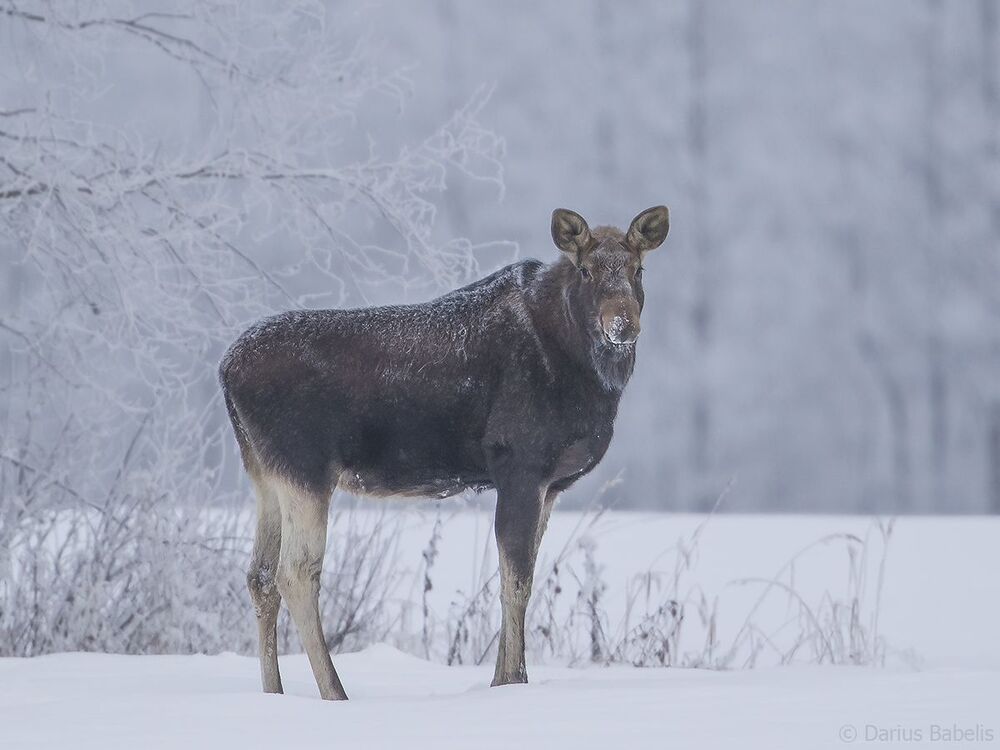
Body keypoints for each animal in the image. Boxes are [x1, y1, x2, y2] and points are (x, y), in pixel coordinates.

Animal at [219, 205, 670, 699]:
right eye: (585, 269)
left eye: (638, 269)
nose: (622, 325)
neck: (586, 376)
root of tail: (225, 369)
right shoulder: (520, 465)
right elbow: (516, 582)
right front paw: (512, 680)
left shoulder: (549, 485)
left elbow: (517, 575)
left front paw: (501, 679)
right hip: (305, 468)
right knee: (296, 573)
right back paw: (335, 692)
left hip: (264, 473)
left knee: (260, 576)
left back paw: (275, 692)